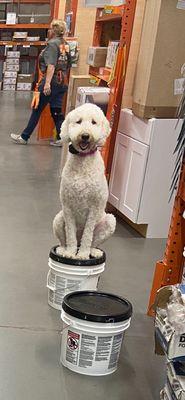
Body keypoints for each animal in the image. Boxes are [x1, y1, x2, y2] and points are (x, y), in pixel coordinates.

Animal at [52, 103, 115, 260]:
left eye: (93, 122)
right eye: (78, 121)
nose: (85, 135)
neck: (83, 160)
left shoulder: (94, 208)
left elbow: (88, 235)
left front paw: (82, 255)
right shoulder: (67, 207)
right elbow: (70, 234)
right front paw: (70, 252)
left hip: (109, 221)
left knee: (93, 241)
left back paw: (93, 251)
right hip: (58, 219)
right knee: (64, 240)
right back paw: (63, 249)